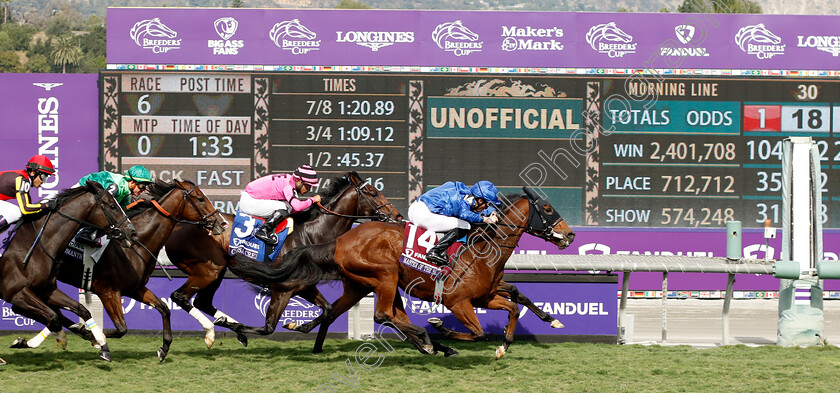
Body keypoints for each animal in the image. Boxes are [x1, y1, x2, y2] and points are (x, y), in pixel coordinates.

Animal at [0, 181, 136, 362]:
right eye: (113, 206)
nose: (132, 232)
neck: (37, 244)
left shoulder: (46, 289)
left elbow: (80, 309)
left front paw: (100, 341)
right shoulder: (15, 292)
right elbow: (54, 318)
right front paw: (31, 342)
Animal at [15, 178, 226, 362]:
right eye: (200, 198)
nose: (222, 223)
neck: (135, 245)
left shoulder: (135, 288)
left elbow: (164, 309)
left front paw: (164, 348)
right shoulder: (108, 291)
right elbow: (121, 328)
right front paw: (97, 341)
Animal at [165, 172, 404, 346]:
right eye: (373, 193)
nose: (397, 216)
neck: (311, 234)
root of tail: (178, 225)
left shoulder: (303, 285)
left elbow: (327, 309)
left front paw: (296, 326)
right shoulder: (282, 287)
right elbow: (267, 328)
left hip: (217, 271)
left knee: (202, 301)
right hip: (207, 271)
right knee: (180, 296)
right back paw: (213, 331)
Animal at [226, 186, 576, 358]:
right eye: (547, 209)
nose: (570, 235)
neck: (481, 250)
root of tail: (340, 239)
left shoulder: (484, 296)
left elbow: (515, 303)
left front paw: (513, 340)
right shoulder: (458, 301)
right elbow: (477, 331)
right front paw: (442, 329)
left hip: (362, 284)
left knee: (341, 312)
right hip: (385, 276)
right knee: (383, 315)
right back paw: (430, 340)